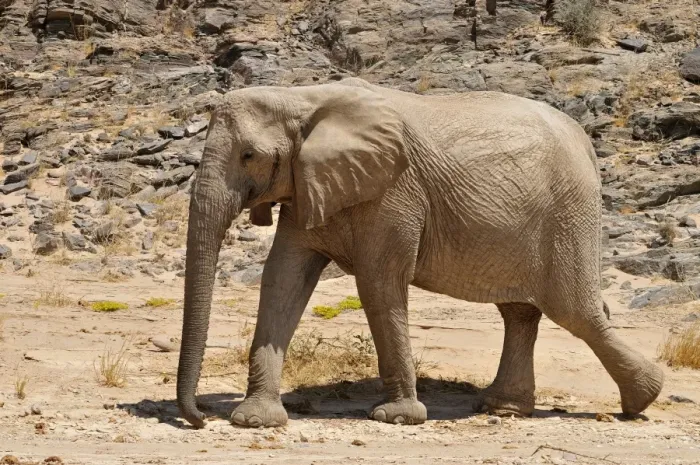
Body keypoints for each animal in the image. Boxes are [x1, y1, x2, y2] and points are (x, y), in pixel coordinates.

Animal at [176, 77, 664, 429]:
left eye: (248, 155)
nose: (201, 418)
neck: (301, 96)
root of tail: (585, 141)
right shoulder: (308, 184)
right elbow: (282, 279)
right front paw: (254, 421)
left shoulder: (394, 191)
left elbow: (378, 283)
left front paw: (397, 418)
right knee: (521, 312)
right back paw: (503, 409)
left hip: (568, 212)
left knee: (576, 310)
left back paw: (643, 399)